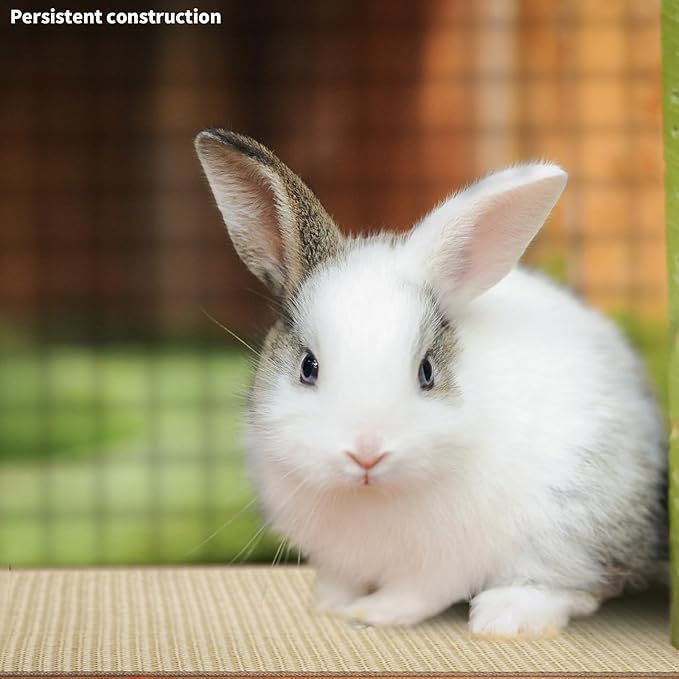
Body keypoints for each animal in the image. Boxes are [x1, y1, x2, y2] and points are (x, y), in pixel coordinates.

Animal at [194, 128, 667, 638]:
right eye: (308, 367)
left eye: (426, 372)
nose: (367, 453)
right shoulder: (340, 559)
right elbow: (342, 579)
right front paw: (329, 605)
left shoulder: (444, 561)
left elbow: (418, 593)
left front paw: (371, 614)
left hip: (572, 522)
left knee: (575, 586)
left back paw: (505, 616)